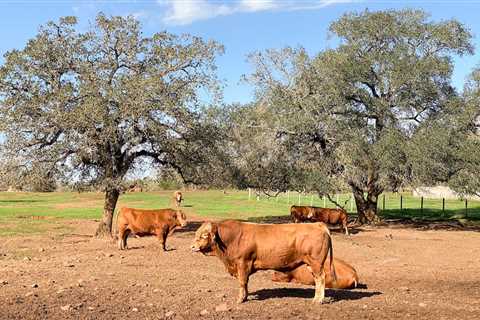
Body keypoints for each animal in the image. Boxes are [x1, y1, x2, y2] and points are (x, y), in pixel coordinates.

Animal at [190, 220, 334, 304]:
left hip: (316, 263)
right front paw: (245, 297)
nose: (192, 247)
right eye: (196, 234)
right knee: (317, 280)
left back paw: (318, 300)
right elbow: (245, 283)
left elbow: (242, 282)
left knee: (321, 278)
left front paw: (240, 299)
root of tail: (318, 224)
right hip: (311, 264)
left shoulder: (243, 263)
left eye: (204, 235)